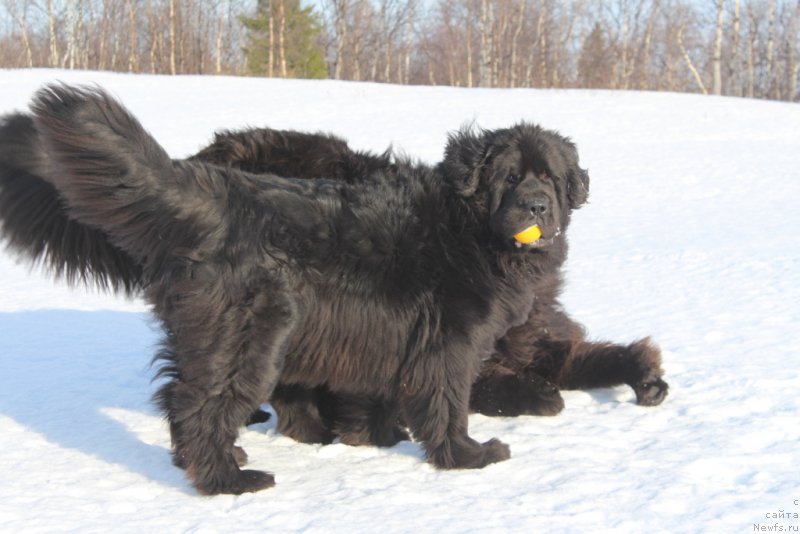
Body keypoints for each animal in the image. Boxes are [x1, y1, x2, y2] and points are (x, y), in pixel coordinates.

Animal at [0, 84, 668, 498]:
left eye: (551, 179)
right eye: (507, 178)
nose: (536, 205)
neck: (468, 228)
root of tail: (215, 191)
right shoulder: (451, 343)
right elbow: (447, 401)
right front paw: (466, 455)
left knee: (188, 397)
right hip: (253, 336)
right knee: (198, 404)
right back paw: (227, 480)